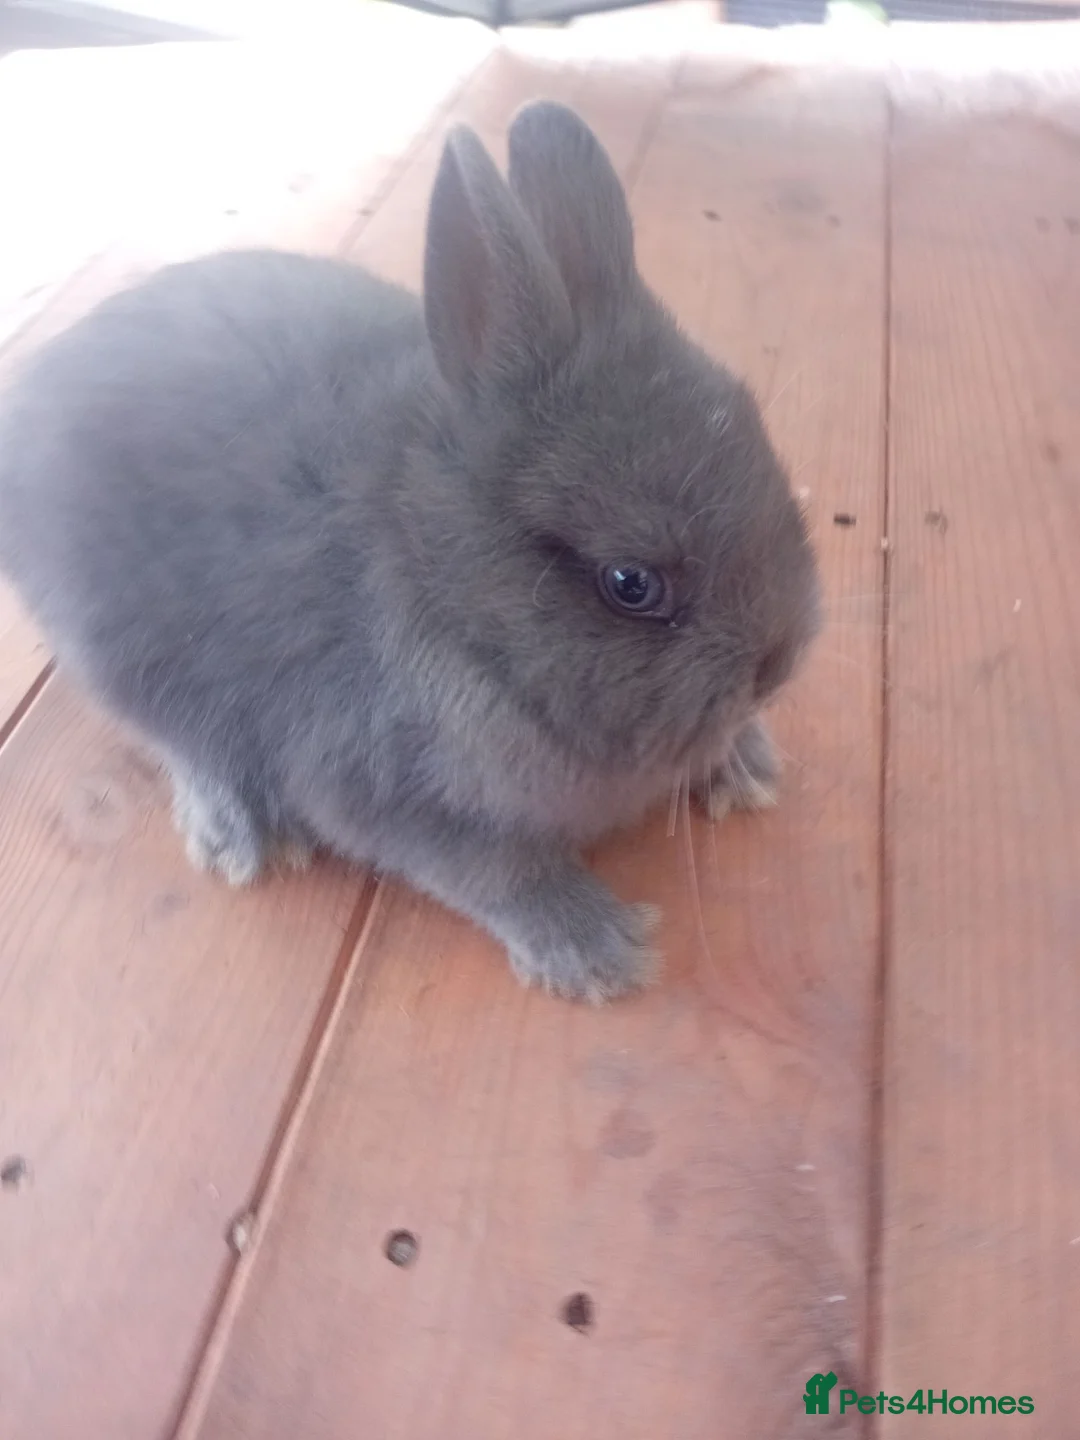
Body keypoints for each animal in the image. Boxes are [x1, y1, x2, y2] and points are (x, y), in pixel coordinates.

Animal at [0, 101, 821, 1002]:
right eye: (630, 583)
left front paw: (747, 767)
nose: (778, 663)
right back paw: (243, 831)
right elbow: (497, 870)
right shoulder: (377, 793)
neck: (450, 592)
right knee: (177, 738)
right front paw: (597, 953)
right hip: (118, 650)